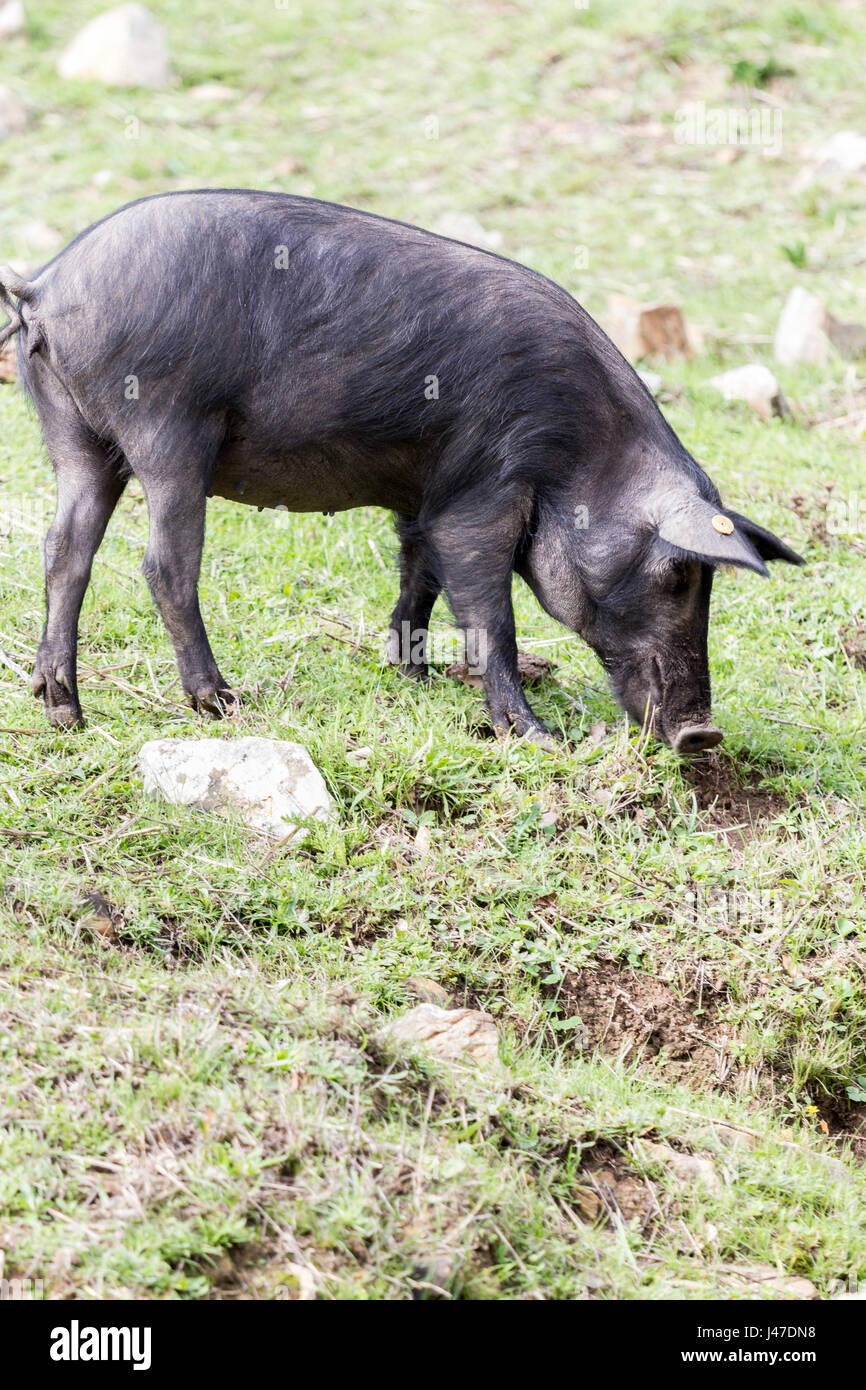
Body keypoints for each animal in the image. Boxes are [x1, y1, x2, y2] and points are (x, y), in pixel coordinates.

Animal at [0, 190, 803, 751]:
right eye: (679, 576)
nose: (703, 733)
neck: (580, 453)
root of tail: (47, 285)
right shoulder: (482, 490)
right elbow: (486, 605)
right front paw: (536, 736)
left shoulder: (426, 495)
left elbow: (419, 576)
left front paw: (411, 673)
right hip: (168, 424)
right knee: (163, 562)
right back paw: (221, 701)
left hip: (74, 435)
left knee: (64, 549)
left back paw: (63, 710)